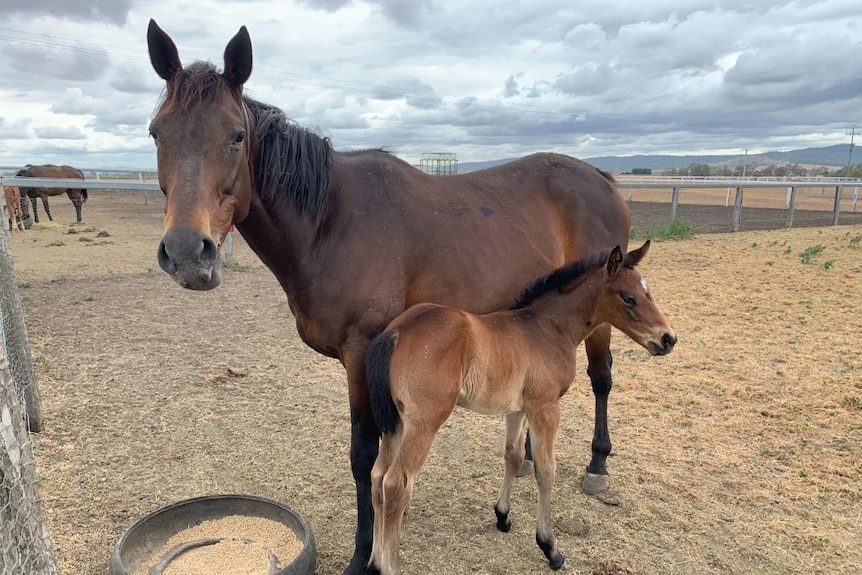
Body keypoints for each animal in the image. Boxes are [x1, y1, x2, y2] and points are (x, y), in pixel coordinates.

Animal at [368, 241, 680, 572]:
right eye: (628, 297)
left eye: (649, 293)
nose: (668, 338)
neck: (548, 328)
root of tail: (396, 331)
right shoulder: (546, 407)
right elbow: (545, 470)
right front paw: (550, 547)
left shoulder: (517, 409)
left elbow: (514, 457)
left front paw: (502, 516)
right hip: (424, 423)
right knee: (396, 484)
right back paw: (388, 566)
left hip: (397, 422)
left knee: (377, 476)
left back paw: (373, 561)